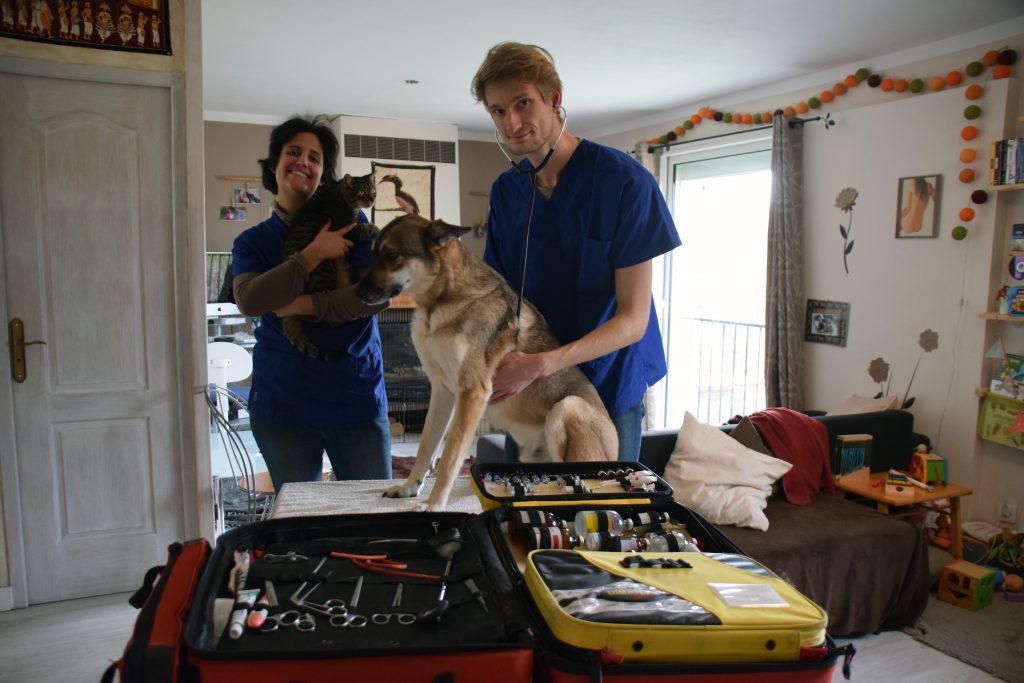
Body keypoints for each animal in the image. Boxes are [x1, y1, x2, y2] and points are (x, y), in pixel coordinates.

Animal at [281, 173, 377, 360]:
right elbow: (364, 227)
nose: (372, 199)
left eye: (373, 191)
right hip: (324, 276)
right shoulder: (346, 232)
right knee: (323, 314)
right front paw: (375, 228)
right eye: (362, 192)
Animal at [354, 214, 617, 511]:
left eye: (392, 255)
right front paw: (410, 488)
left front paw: (435, 504)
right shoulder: (442, 391)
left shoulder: (472, 393)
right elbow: (426, 447)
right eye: (373, 253)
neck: (442, 299)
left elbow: (450, 458)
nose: (357, 293)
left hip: (567, 406)